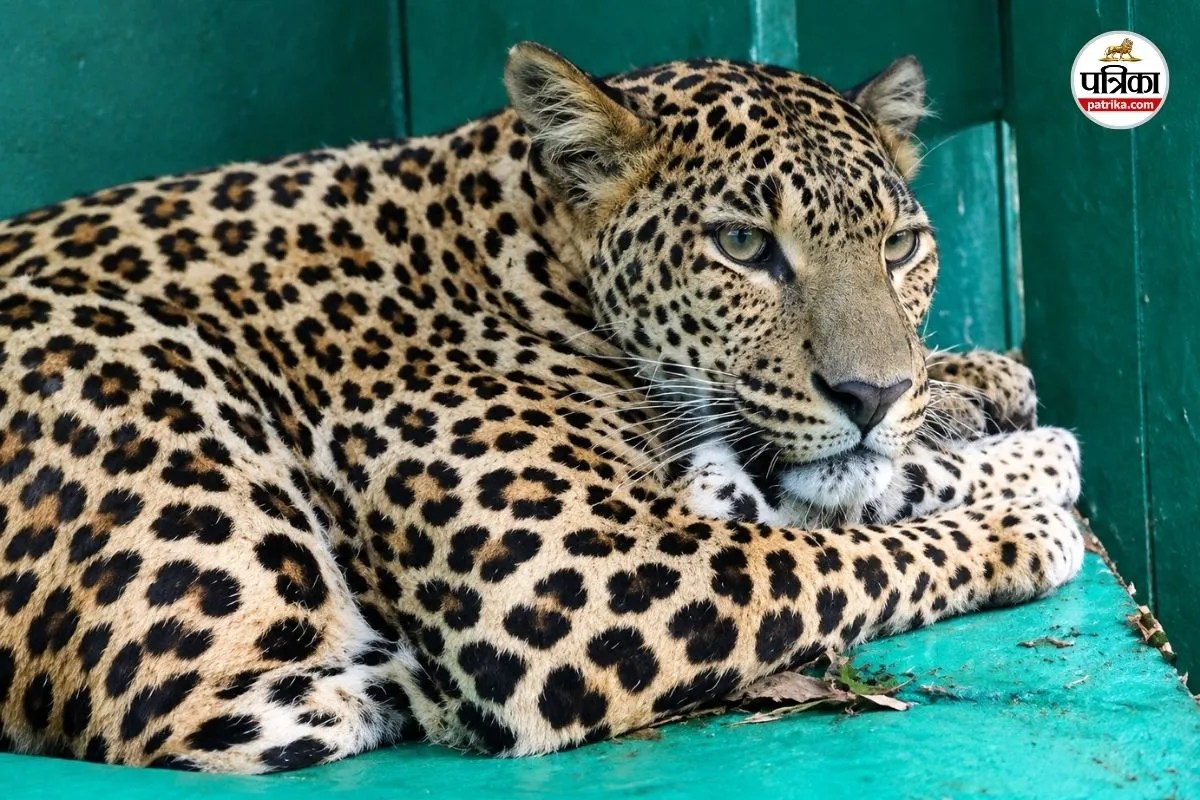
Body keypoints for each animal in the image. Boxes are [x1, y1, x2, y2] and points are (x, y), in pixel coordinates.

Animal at [0, 42, 1083, 773]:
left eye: (901, 247)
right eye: (741, 244)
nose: (873, 392)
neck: (518, 250)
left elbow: (836, 491)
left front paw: (977, 390)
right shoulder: (570, 574)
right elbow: (829, 555)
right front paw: (1029, 511)